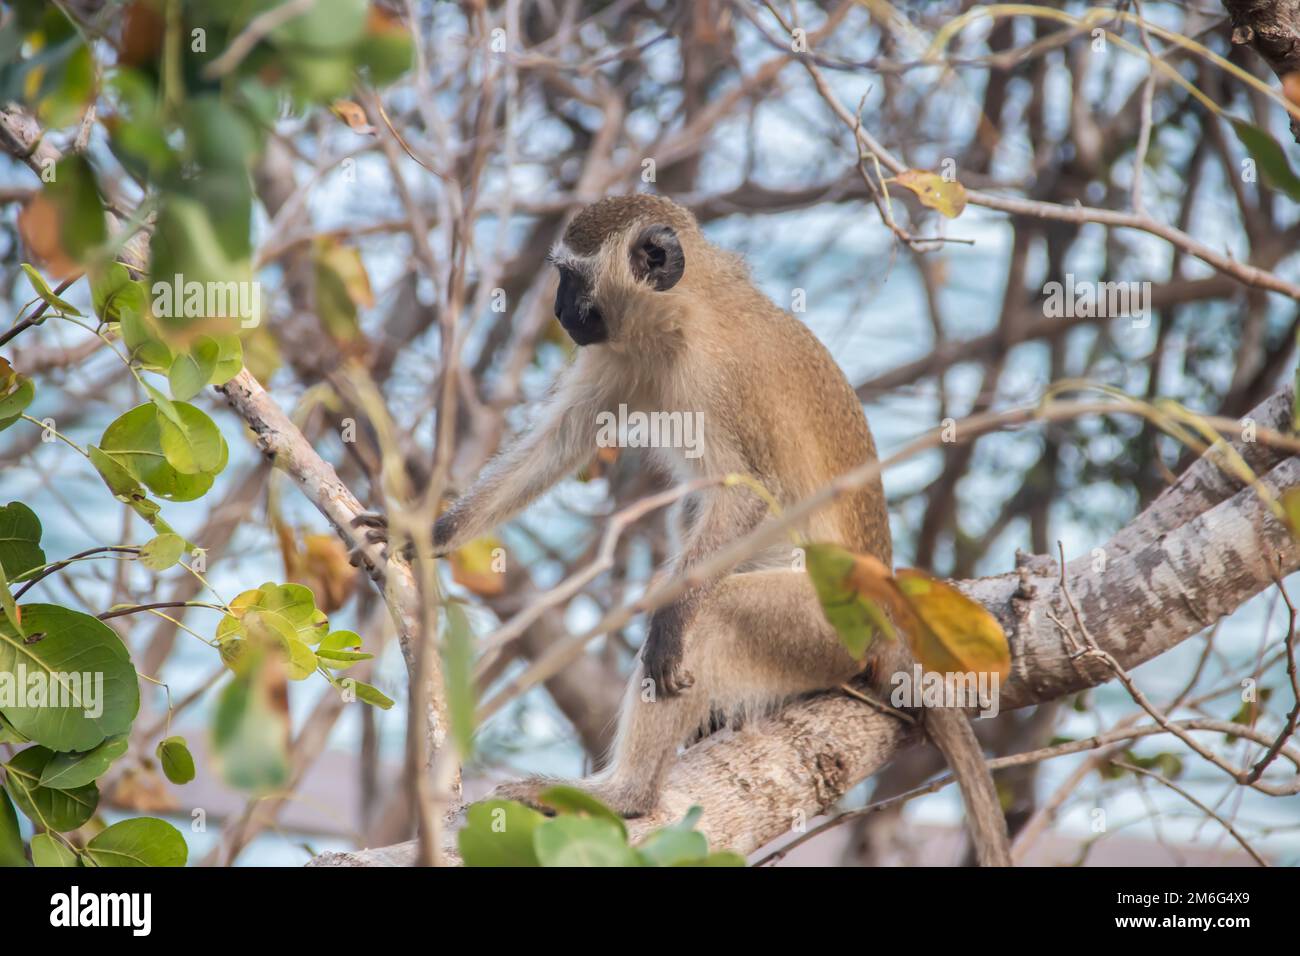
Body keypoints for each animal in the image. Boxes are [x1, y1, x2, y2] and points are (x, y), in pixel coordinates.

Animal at [353, 195, 1013, 868]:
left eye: (570, 277)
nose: (560, 312)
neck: (680, 313)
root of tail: (886, 635)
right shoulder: (616, 355)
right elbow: (559, 445)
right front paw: (432, 534)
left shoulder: (718, 376)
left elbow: (747, 497)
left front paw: (669, 621)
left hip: (827, 629)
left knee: (717, 615)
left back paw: (627, 793)